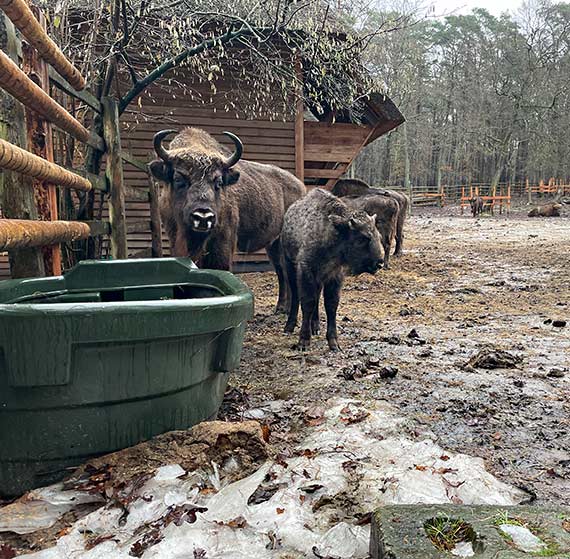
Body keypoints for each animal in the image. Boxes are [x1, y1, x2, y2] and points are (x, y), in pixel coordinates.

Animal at [148, 127, 306, 312]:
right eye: (178, 178)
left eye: (218, 181)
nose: (203, 216)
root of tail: (301, 187)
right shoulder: (176, 239)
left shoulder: (223, 241)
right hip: (273, 245)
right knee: (281, 271)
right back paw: (281, 307)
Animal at [280, 190, 382, 352]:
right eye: (362, 238)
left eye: (378, 235)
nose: (379, 263)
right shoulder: (306, 271)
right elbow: (307, 302)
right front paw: (303, 341)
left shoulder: (334, 275)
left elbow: (331, 304)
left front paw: (334, 342)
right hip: (289, 265)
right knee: (295, 295)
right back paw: (289, 326)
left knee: (316, 296)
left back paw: (315, 326)